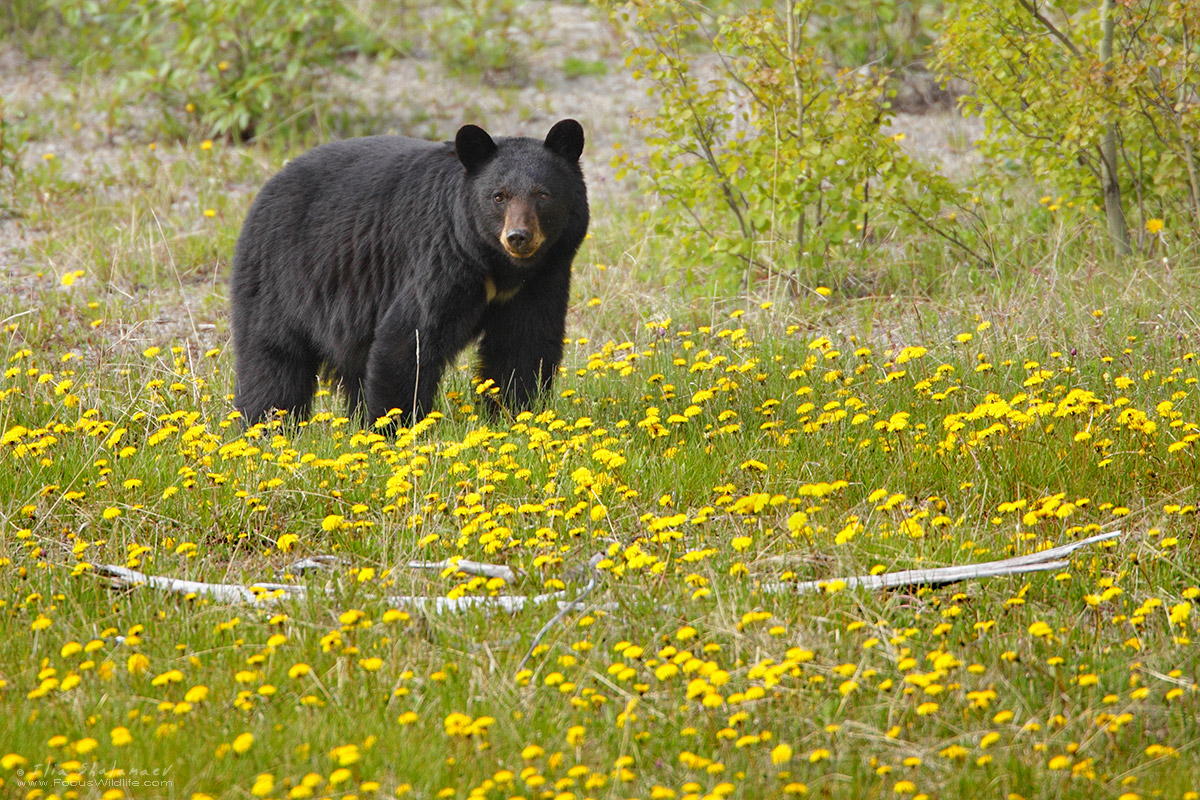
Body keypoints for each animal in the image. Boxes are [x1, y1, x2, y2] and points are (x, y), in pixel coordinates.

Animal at [226, 118, 588, 429]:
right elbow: (408, 338)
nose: (518, 237)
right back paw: (266, 426)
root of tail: (263, 192)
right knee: (272, 359)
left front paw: (515, 415)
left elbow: (524, 345)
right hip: (280, 277)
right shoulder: (441, 260)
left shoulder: (543, 277)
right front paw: (394, 427)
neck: (499, 267)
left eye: (543, 194)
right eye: (499, 196)